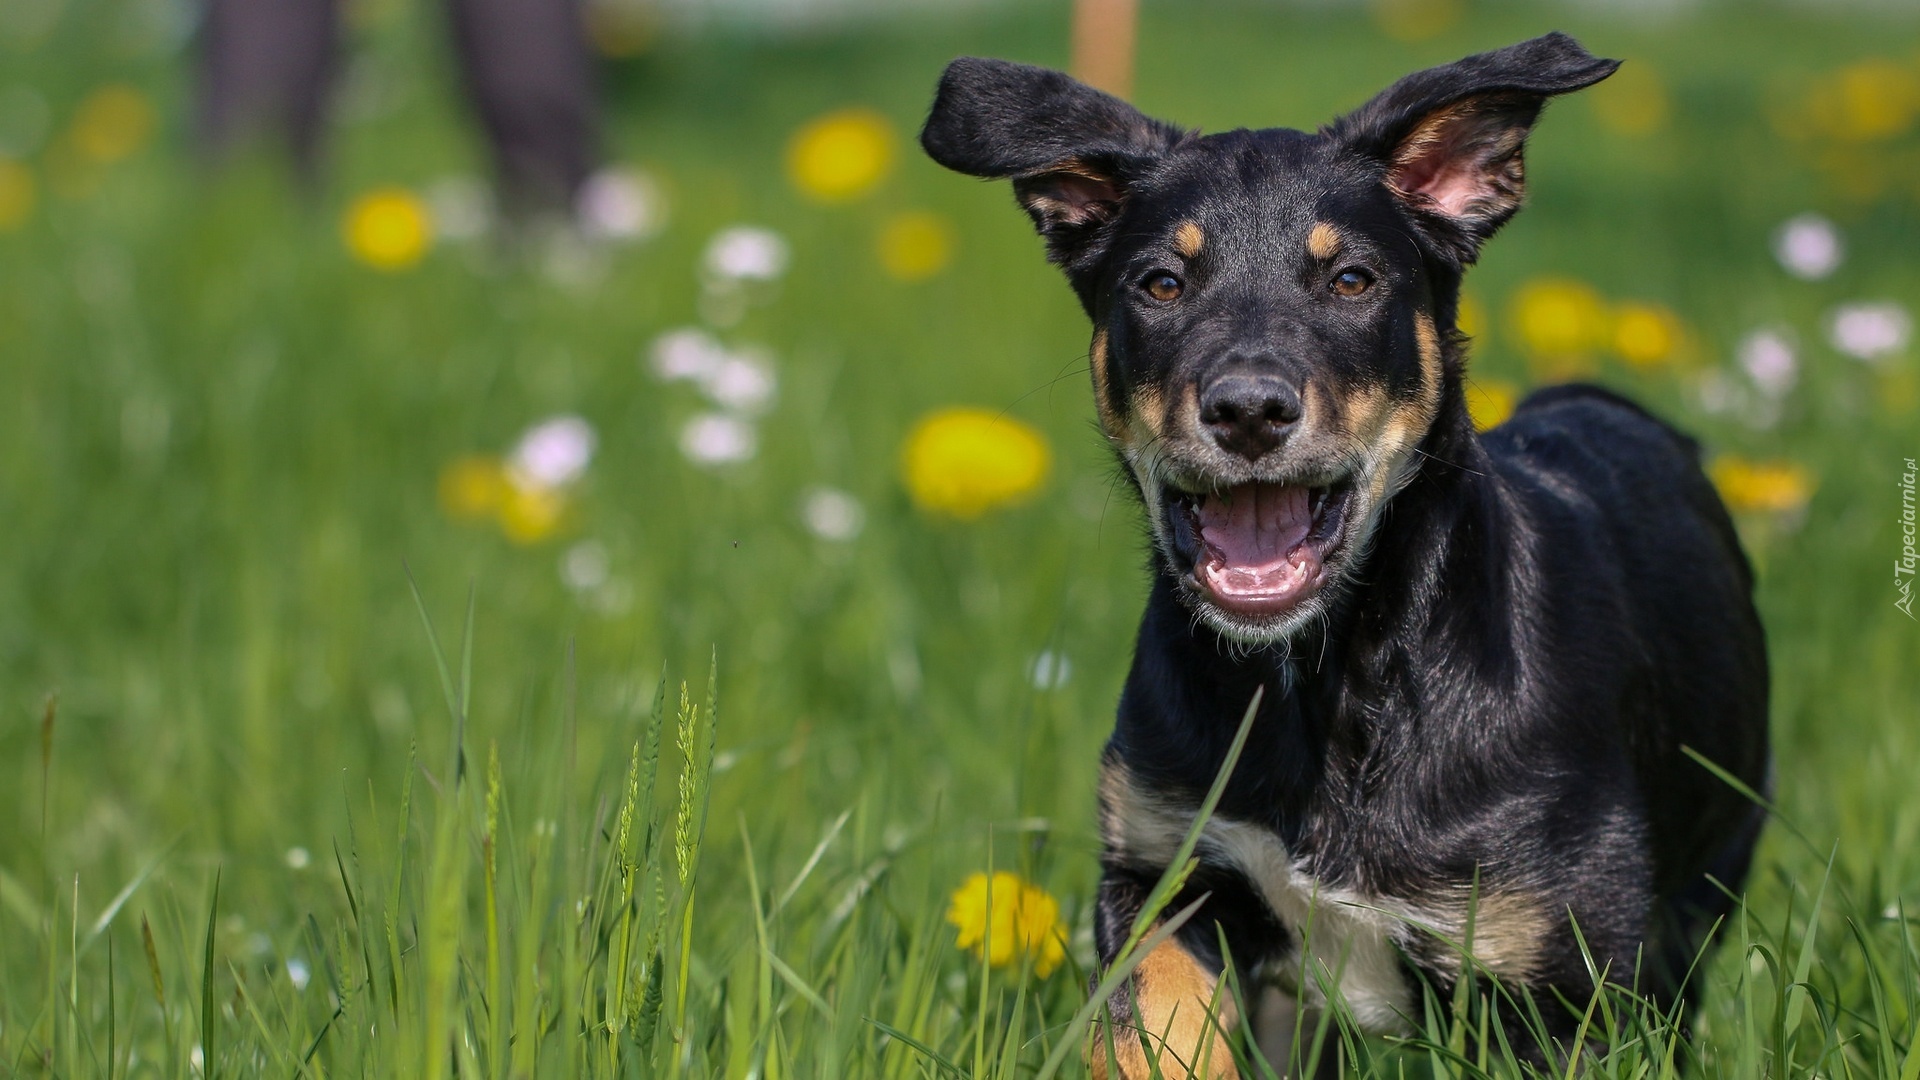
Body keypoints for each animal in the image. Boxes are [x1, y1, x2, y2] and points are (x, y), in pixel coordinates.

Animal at [921, 31, 1774, 1068]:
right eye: (1161, 284)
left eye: (1351, 281)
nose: (1249, 409)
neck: (1323, 681)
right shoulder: (1166, 871)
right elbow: (1153, 1031)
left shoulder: (1563, 965)